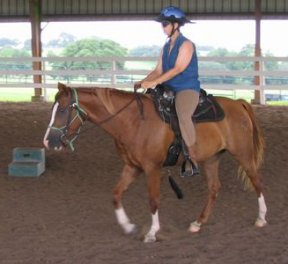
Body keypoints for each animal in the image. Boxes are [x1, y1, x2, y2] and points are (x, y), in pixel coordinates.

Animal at [42, 83, 268, 242]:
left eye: (62, 110)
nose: (47, 141)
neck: (133, 121)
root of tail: (238, 103)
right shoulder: (132, 167)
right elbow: (116, 195)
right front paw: (128, 226)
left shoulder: (152, 168)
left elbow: (153, 200)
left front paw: (151, 233)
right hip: (211, 159)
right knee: (214, 188)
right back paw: (197, 223)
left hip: (243, 154)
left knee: (257, 181)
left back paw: (261, 218)